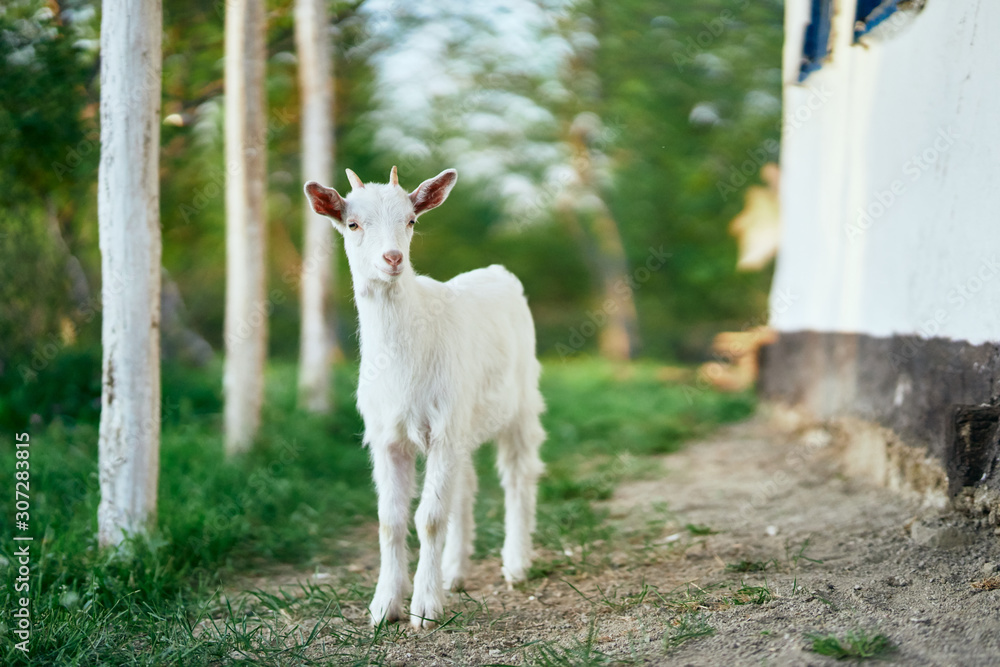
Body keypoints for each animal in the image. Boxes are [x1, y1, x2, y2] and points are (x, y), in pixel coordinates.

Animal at [304, 166, 546, 630]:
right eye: (352, 224)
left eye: (411, 220)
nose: (393, 259)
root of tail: (497, 271)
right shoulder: (388, 435)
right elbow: (391, 520)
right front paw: (384, 606)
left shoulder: (444, 429)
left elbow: (429, 518)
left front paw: (425, 609)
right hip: (466, 420)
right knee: (465, 487)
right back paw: (455, 571)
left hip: (521, 401)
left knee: (518, 475)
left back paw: (515, 564)